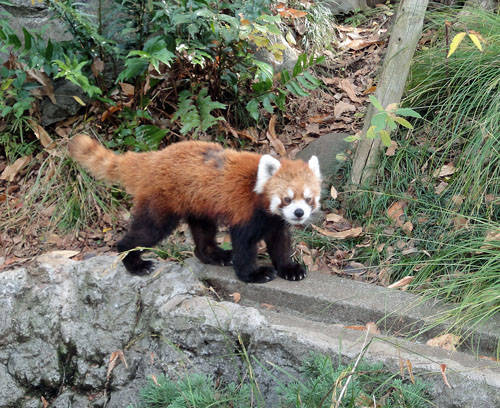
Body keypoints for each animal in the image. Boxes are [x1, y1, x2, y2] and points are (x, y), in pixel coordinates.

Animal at [68, 135, 320, 282]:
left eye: (308, 199)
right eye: (287, 199)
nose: (299, 213)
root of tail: (155, 158)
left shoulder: (275, 221)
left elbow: (280, 243)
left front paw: (289, 269)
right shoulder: (245, 210)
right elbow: (244, 244)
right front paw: (254, 273)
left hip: (198, 204)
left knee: (203, 232)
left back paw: (215, 255)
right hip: (162, 202)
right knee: (148, 231)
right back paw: (134, 262)